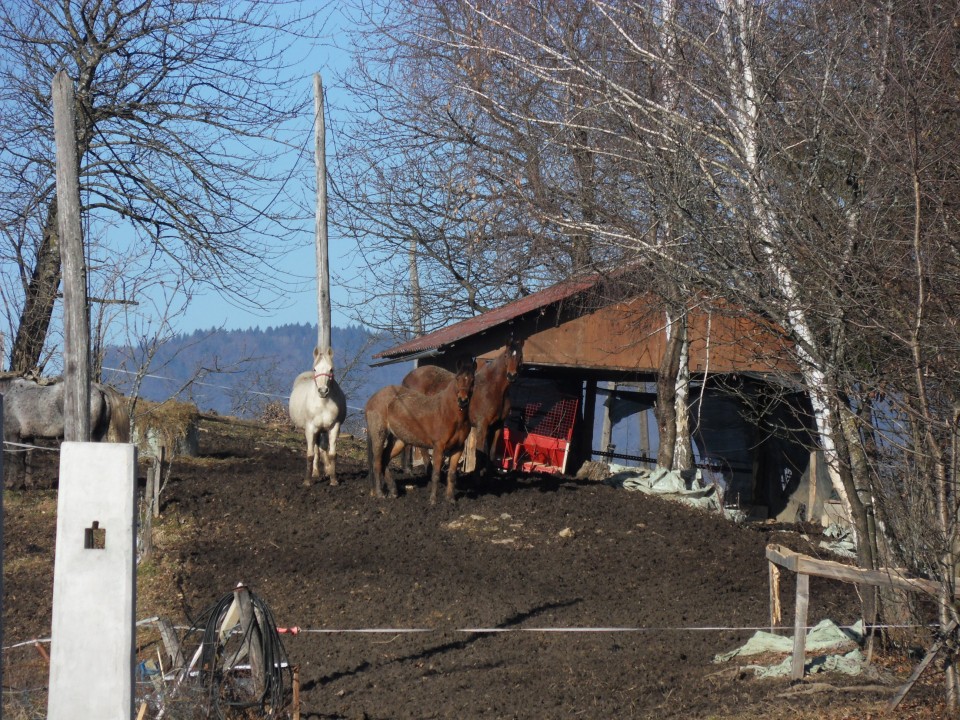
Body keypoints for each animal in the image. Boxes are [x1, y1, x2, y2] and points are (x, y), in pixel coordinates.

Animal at [288, 346, 348, 486]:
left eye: (331, 369)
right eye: (315, 369)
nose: (323, 391)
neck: (323, 403)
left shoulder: (334, 427)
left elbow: (332, 454)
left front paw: (333, 479)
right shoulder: (310, 428)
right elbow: (310, 454)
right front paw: (307, 481)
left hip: (322, 430)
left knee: (321, 448)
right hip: (312, 430)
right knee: (315, 448)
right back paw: (315, 472)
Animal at [366, 358, 474, 504]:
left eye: (472, 380)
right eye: (458, 378)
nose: (463, 401)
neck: (448, 413)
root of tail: (373, 398)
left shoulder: (458, 448)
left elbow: (452, 474)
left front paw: (450, 500)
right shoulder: (438, 447)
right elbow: (435, 474)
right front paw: (433, 500)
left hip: (398, 440)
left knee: (384, 460)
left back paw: (393, 491)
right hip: (379, 435)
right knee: (376, 463)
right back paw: (380, 493)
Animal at [404, 338, 528, 472]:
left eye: (521, 356)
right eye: (506, 355)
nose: (512, 376)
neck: (493, 389)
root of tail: (408, 378)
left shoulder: (497, 426)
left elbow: (492, 453)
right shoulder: (482, 426)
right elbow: (479, 453)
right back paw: (422, 468)